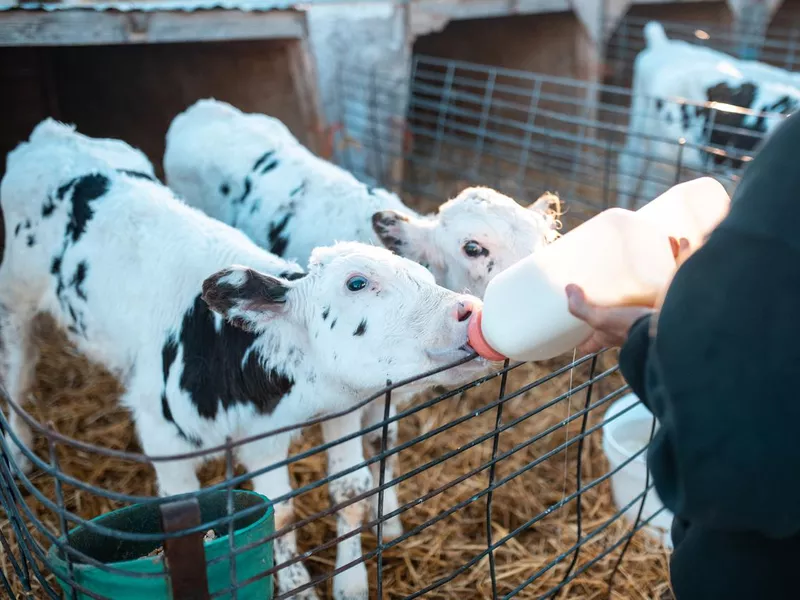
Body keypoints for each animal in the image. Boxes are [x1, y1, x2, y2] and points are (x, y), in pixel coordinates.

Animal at [0, 119, 488, 596]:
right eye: (356, 283)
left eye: (426, 273)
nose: (469, 310)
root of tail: (51, 132)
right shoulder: (165, 441)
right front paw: (299, 588)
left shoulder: (321, 418)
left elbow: (336, 496)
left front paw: (347, 585)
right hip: (15, 301)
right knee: (16, 383)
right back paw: (20, 459)